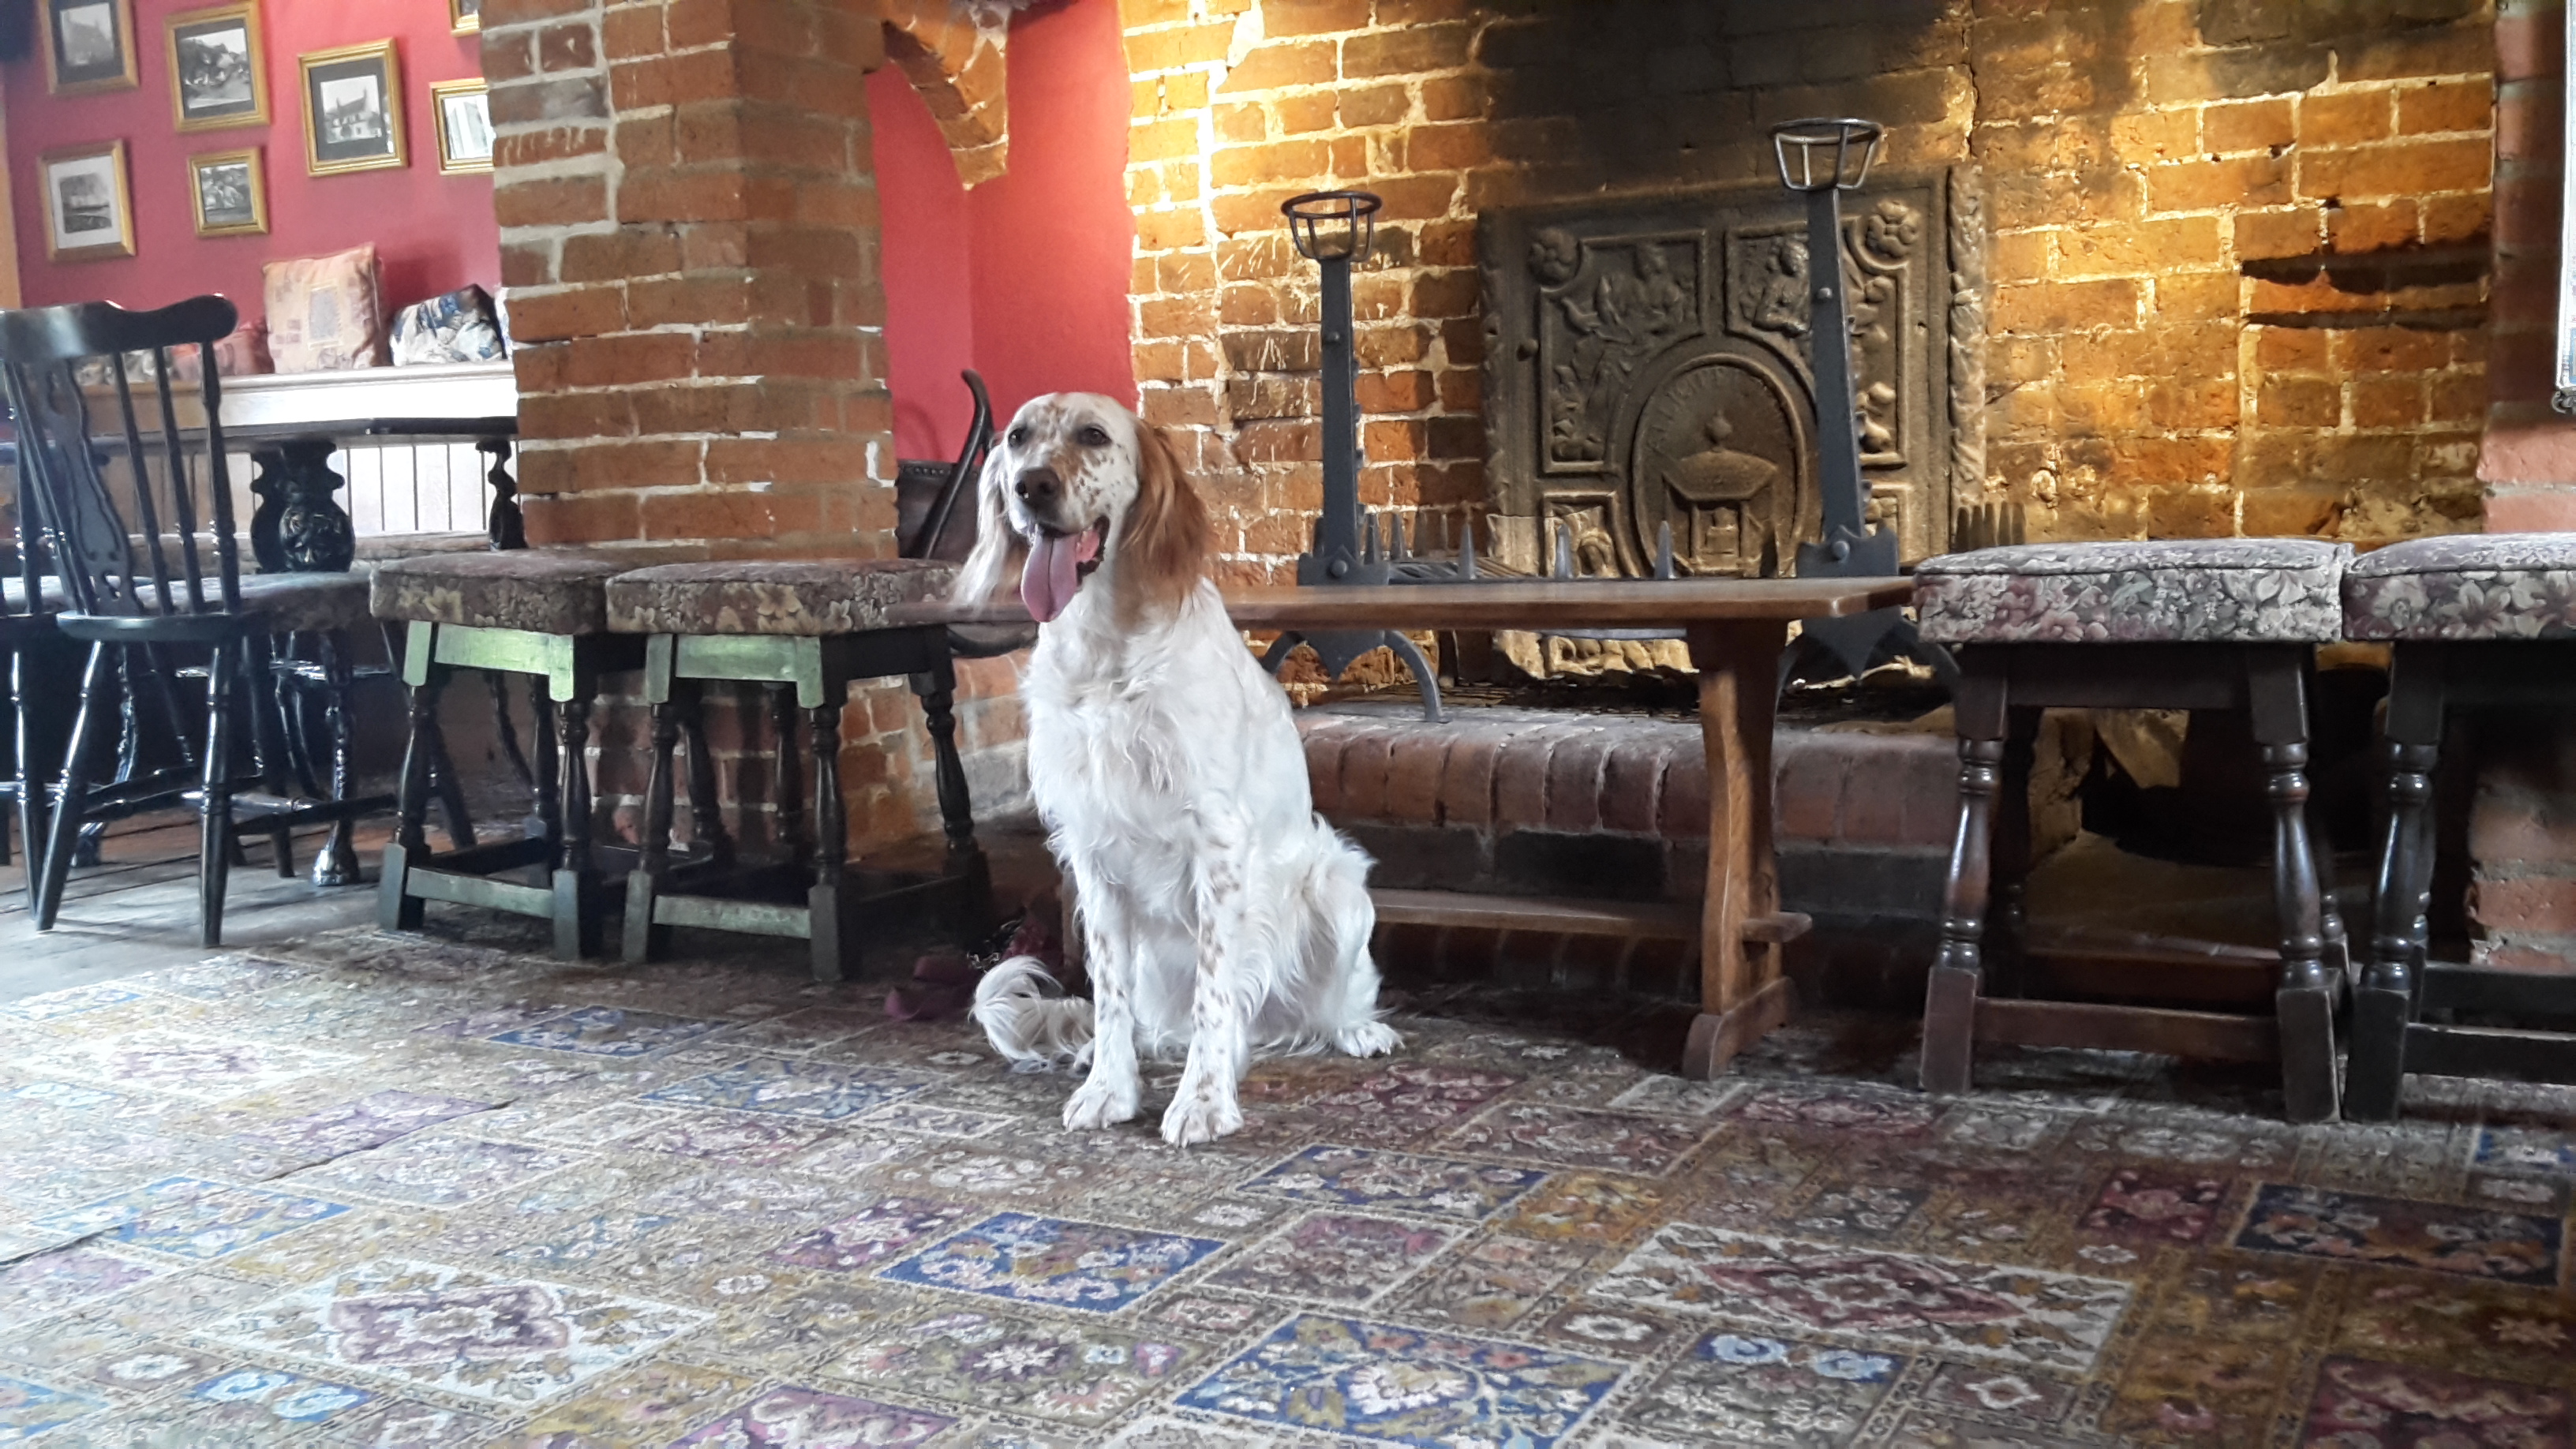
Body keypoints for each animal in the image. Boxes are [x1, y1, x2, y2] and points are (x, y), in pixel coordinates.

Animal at [956, 392, 1400, 1145]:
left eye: (1093, 435)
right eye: (1016, 439)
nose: (1031, 486)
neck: (1105, 653)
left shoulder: (1215, 843)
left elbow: (1214, 994)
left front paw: (1203, 1101)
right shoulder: (1092, 854)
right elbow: (1109, 999)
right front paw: (1111, 1088)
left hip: (1339, 886)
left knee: (1328, 1006)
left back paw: (1357, 1031)